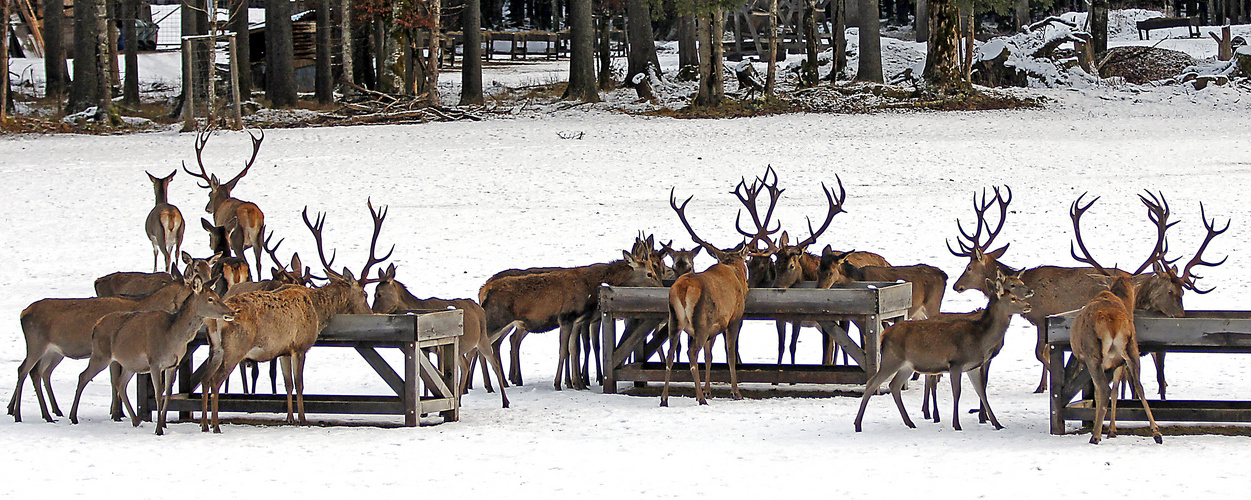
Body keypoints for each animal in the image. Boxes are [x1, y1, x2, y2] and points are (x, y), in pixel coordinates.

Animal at [850, 267, 1035, 432]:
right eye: (1012, 297)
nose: (1027, 304)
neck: (980, 338)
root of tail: (884, 334)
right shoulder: (956, 363)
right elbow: (957, 393)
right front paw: (957, 424)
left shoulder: (973, 367)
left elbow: (981, 392)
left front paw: (997, 424)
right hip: (891, 358)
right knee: (871, 383)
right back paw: (858, 424)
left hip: (906, 365)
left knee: (894, 385)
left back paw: (910, 423)